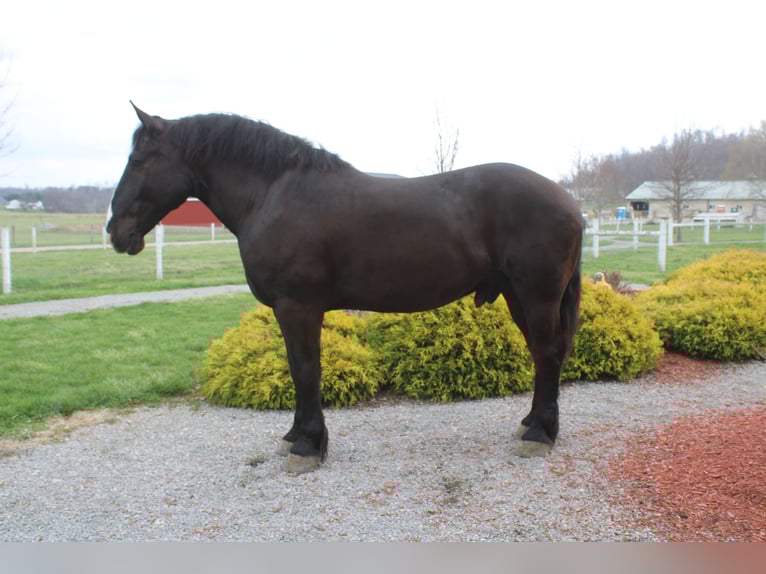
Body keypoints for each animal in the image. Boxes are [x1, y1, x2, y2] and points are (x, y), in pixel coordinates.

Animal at [107, 103, 584, 474]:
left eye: (141, 160)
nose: (115, 231)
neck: (274, 194)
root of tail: (569, 202)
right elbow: (298, 371)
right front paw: (295, 435)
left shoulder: (297, 307)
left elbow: (306, 371)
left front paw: (308, 446)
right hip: (518, 296)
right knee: (544, 355)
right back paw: (532, 424)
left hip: (537, 296)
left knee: (547, 354)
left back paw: (539, 435)